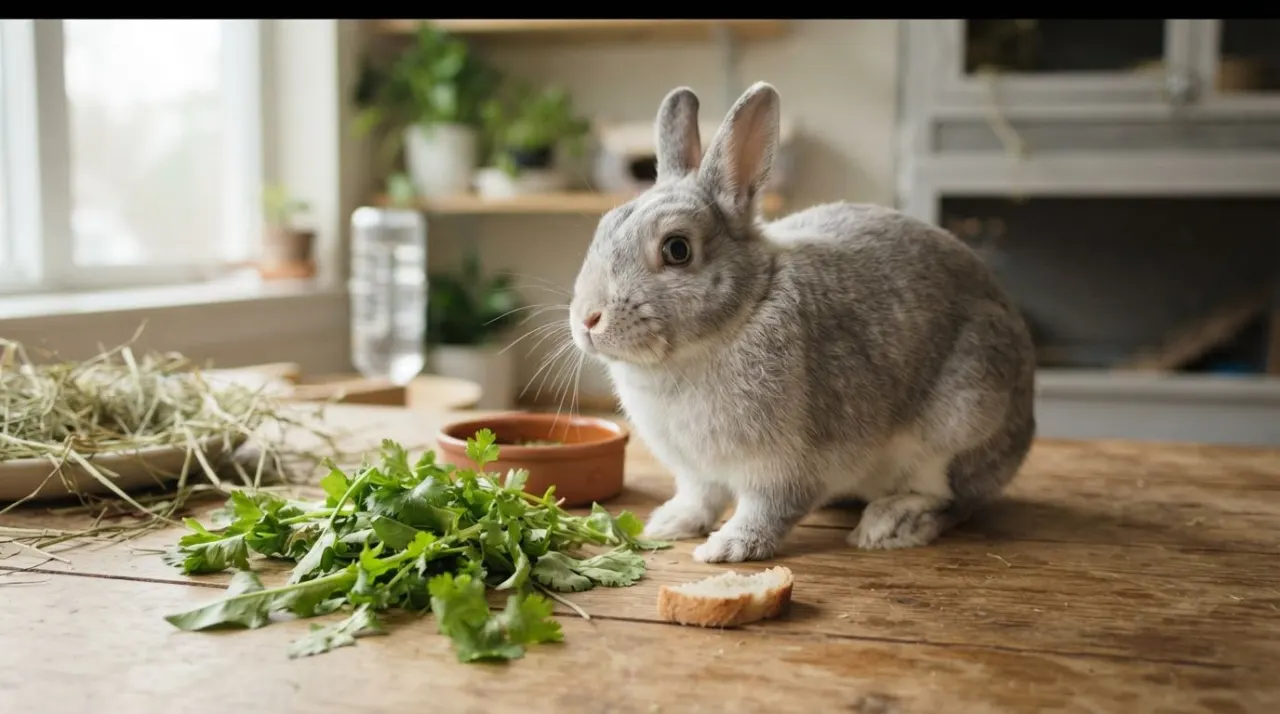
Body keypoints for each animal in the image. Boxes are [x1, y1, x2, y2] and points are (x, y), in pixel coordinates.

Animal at [568, 82, 1037, 563]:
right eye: (602, 229)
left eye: (677, 249)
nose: (587, 319)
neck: (743, 313)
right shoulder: (698, 471)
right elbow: (702, 497)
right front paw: (669, 523)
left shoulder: (784, 467)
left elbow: (767, 510)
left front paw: (728, 547)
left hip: (963, 420)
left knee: (953, 499)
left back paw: (891, 523)